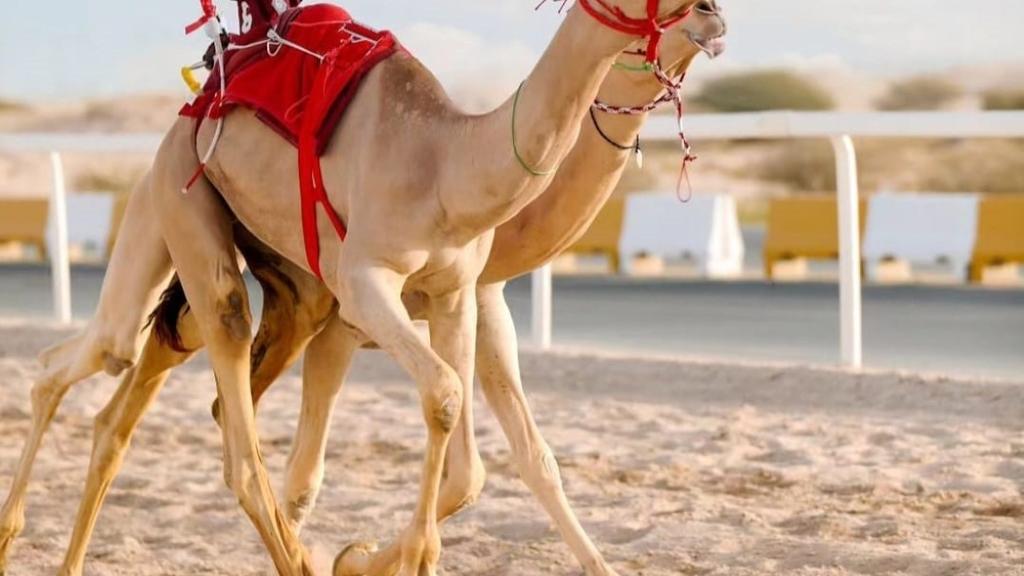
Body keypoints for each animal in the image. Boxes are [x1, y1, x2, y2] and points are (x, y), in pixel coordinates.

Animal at [0, 1, 711, 575]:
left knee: (119, 390)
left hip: (229, 283)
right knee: (194, 404)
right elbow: (322, 468)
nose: (712, 16)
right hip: (181, 192)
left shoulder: (469, 299)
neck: (448, 171)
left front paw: (365, 554)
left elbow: (502, 463)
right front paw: (364, 556)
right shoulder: (352, 310)